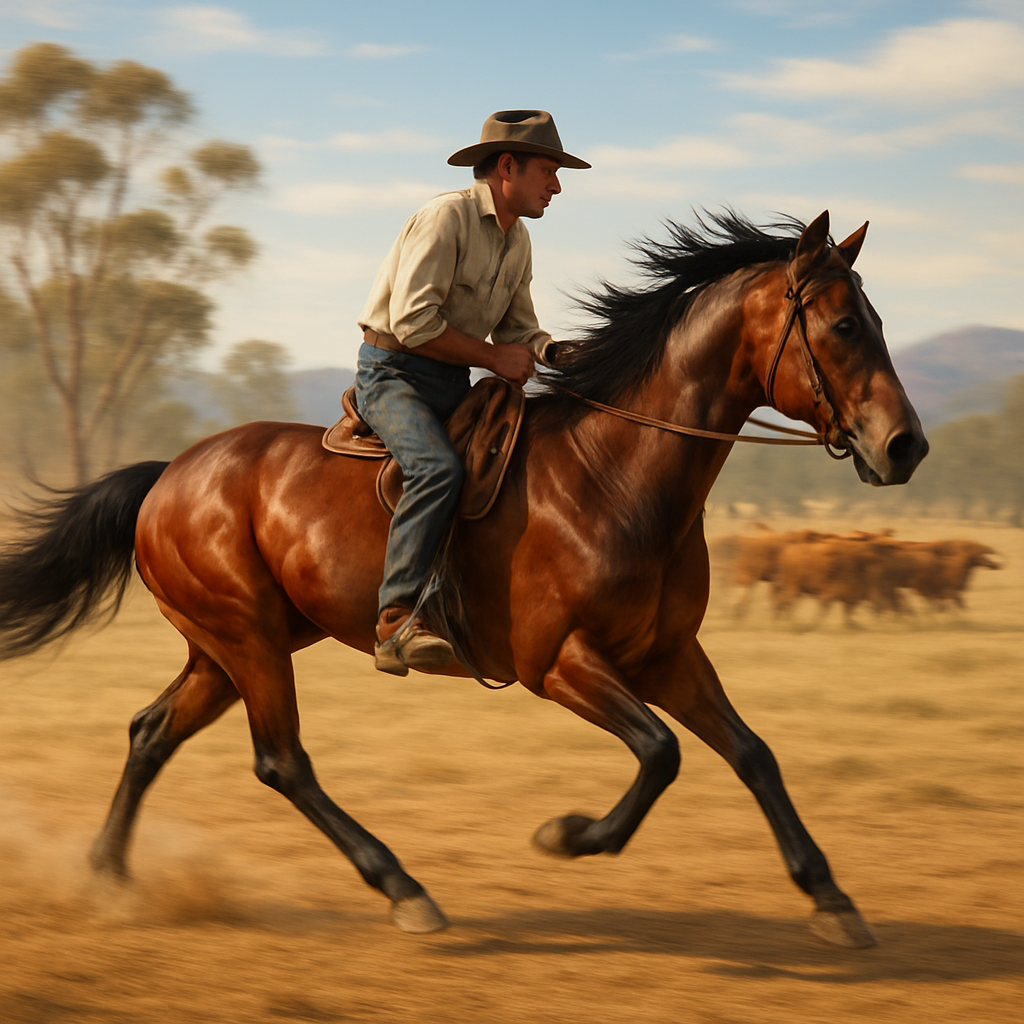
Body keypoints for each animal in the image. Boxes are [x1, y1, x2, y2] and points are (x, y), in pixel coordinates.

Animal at [0, 210, 927, 948]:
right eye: (844, 325)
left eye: (877, 318)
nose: (906, 446)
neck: (613, 472)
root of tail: (167, 475)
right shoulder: (559, 662)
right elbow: (661, 753)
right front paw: (568, 834)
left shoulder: (667, 656)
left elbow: (753, 754)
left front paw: (832, 899)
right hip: (248, 640)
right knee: (282, 762)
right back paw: (403, 888)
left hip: (230, 647)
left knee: (151, 732)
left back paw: (108, 876)